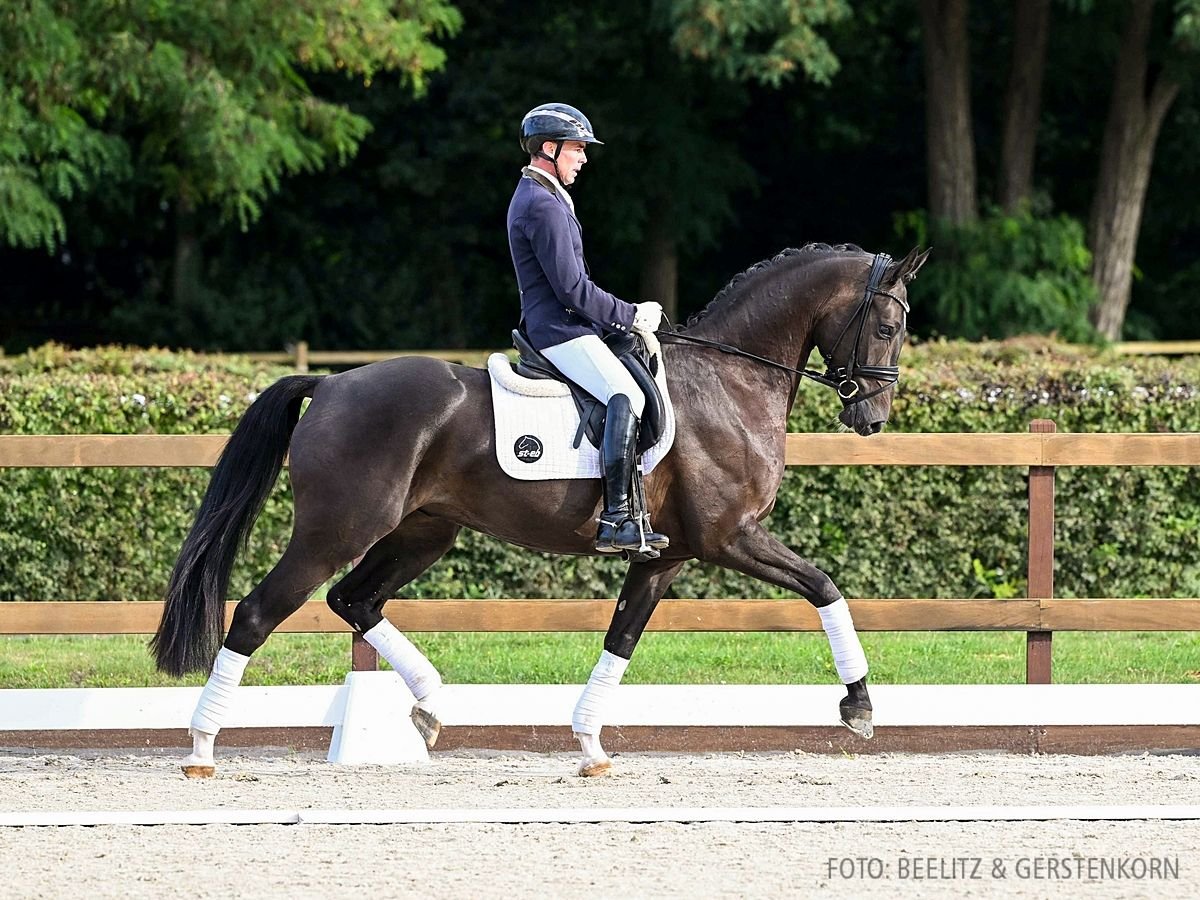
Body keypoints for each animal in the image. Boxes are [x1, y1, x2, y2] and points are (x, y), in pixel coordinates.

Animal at [154, 243, 931, 777]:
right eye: (888, 325)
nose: (872, 417)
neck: (731, 377)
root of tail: (333, 384)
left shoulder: (668, 555)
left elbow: (621, 639)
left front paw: (589, 745)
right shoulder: (729, 537)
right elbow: (825, 586)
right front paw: (859, 706)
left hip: (423, 532)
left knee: (354, 600)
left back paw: (430, 706)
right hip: (336, 531)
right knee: (258, 614)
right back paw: (201, 748)